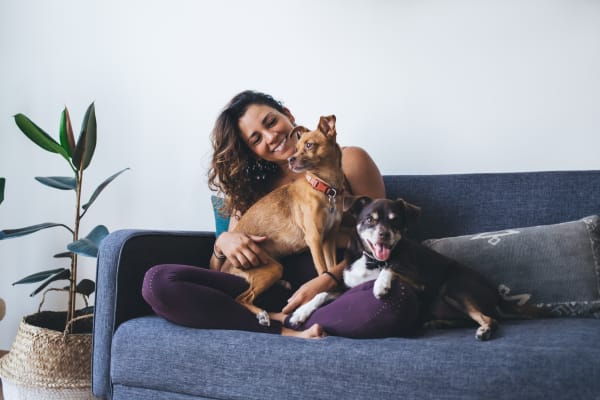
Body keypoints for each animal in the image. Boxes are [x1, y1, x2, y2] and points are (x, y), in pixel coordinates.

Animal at [290, 197, 528, 340]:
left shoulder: (421, 284)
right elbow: (321, 294)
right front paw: (300, 313)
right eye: (369, 219)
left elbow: (392, 268)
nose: (384, 234)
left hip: (454, 287)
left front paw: (381, 285)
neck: (372, 261)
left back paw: (484, 329)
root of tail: (497, 295)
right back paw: (438, 323)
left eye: (395, 221)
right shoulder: (348, 288)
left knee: (489, 318)